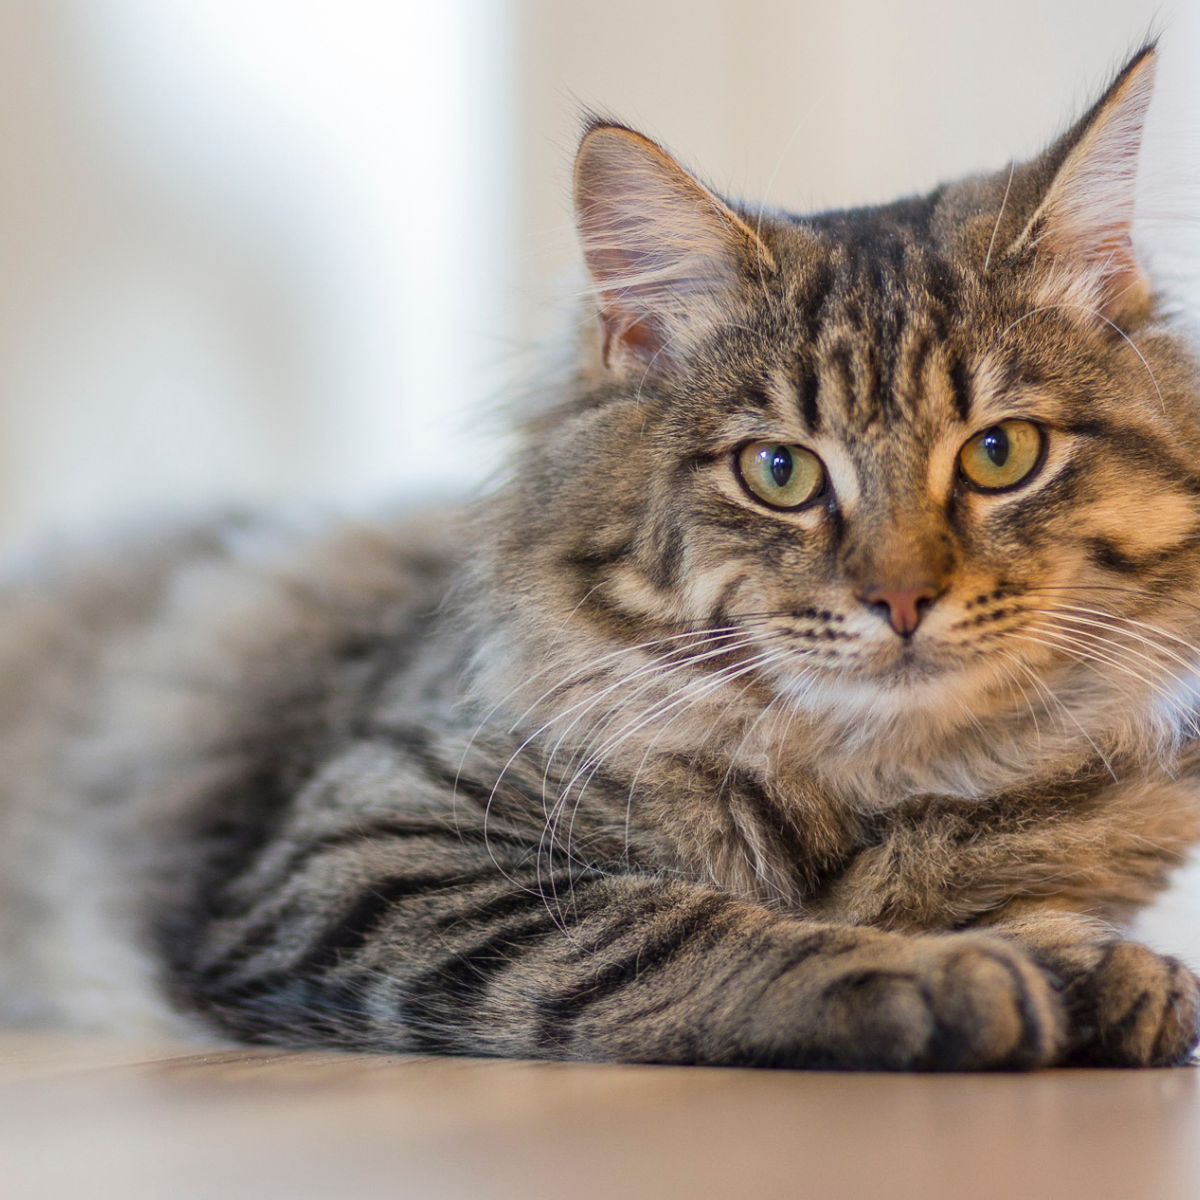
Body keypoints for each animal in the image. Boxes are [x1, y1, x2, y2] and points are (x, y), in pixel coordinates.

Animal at [2, 42, 1200, 1070]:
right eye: (779, 471)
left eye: (1001, 454)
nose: (900, 597)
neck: (877, 783)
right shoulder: (370, 852)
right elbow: (679, 926)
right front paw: (941, 970)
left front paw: (1099, 966)